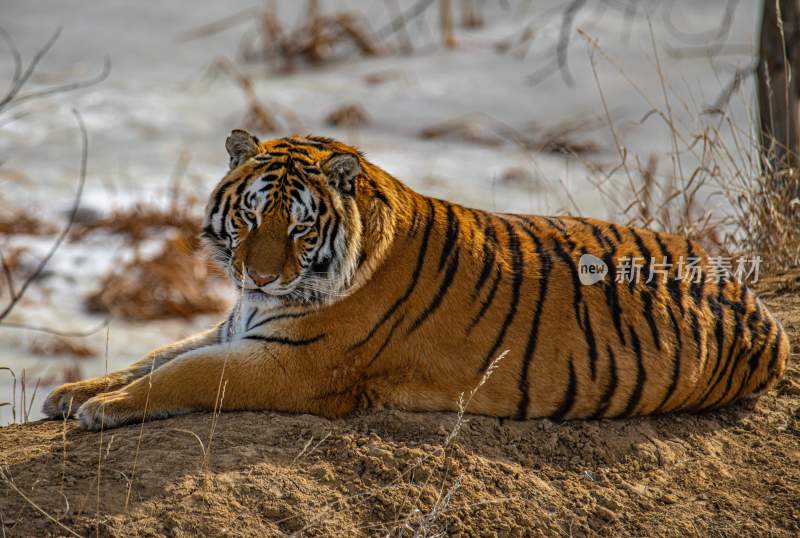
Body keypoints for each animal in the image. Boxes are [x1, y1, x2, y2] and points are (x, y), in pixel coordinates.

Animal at [42, 127, 788, 430]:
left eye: (300, 228)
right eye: (250, 215)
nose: (259, 275)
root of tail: (754, 300)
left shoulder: (294, 366)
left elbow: (182, 373)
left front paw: (102, 408)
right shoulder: (239, 328)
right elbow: (156, 354)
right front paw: (70, 391)